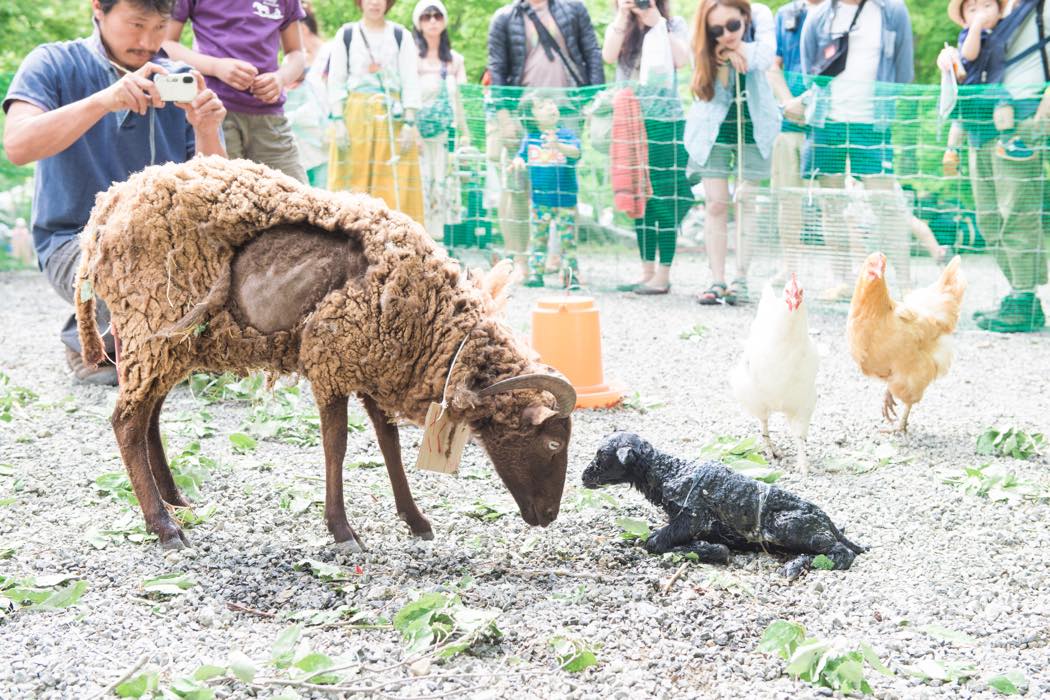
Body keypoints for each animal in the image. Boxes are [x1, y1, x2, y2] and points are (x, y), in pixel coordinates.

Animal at [76, 156, 579, 549]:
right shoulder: (332, 361)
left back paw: (175, 499)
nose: (549, 517)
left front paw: (415, 519)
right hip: (148, 327)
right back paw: (163, 526)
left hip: (169, 343)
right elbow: (336, 444)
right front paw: (342, 530)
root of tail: (107, 206)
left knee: (149, 417)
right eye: (554, 443)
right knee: (126, 422)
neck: (432, 325)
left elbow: (388, 441)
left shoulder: (376, 362)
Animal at [579, 434, 865, 579]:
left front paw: (703, 549)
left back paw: (798, 567)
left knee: (842, 553)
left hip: (789, 526)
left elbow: (655, 542)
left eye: (601, 456)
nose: (583, 477)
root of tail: (828, 521)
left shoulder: (693, 517)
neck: (669, 471)